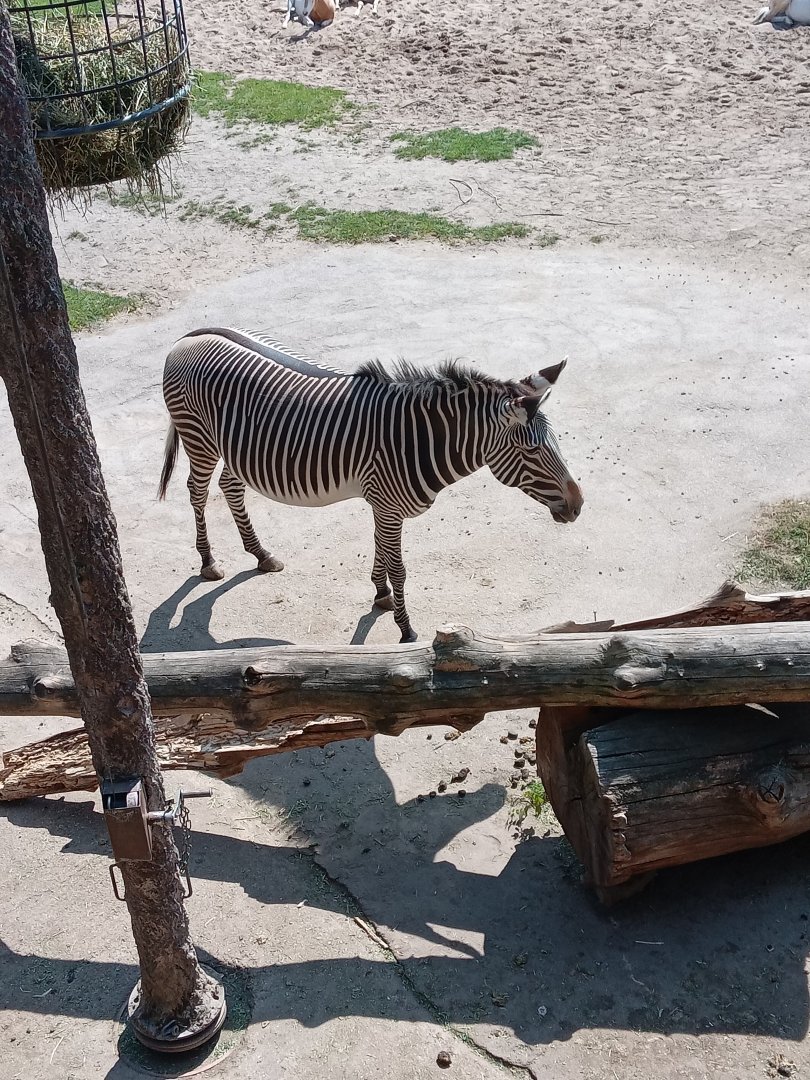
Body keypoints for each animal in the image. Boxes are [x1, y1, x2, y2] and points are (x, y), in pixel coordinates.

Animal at [158, 327, 583, 643]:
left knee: (231, 485)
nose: (578, 506)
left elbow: (381, 549)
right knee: (197, 491)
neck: (421, 439)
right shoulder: (387, 503)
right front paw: (406, 630)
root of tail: (190, 336)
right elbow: (400, 568)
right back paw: (208, 562)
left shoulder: (381, 502)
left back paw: (261, 554)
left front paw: (381, 596)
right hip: (199, 438)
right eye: (531, 450)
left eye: (555, 440)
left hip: (236, 450)